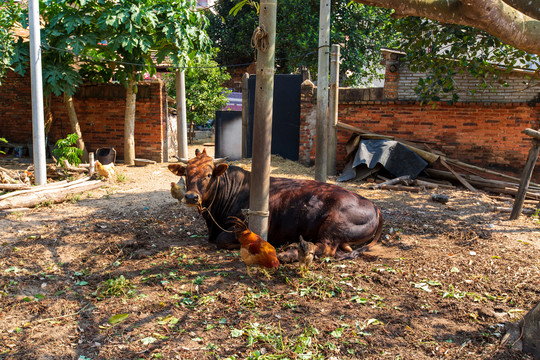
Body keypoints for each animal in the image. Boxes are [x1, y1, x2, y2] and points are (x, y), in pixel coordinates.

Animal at [169, 148, 384, 260]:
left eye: (208, 174)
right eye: (186, 173)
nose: (191, 197)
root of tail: (373, 206)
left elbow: (223, 240)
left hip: (334, 225)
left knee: (326, 248)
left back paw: (290, 253)